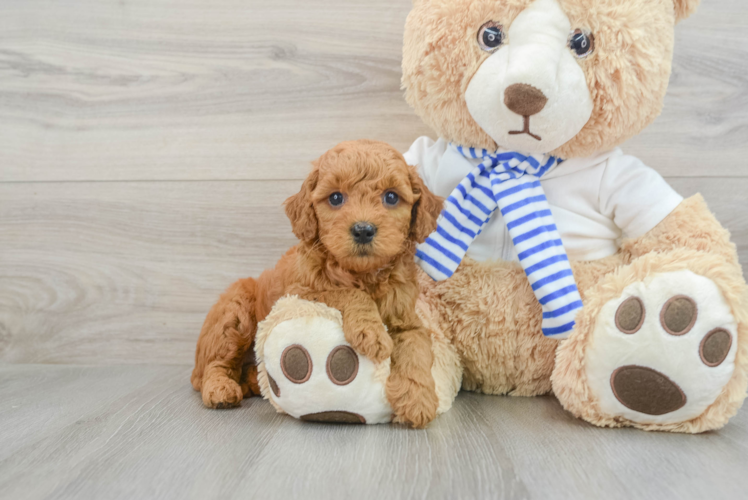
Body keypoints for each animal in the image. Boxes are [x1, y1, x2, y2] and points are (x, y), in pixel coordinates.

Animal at [193, 139, 448, 428]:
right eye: (336, 198)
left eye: (391, 197)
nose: (363, 230)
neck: (363, 274)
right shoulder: (299, 292)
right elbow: (347, 293)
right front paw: (371, 332)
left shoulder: (407, 319)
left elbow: (416, 348)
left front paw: (418, 399)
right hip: (234, 313)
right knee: (215, 364)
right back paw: (220, 389)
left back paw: (254, 382)